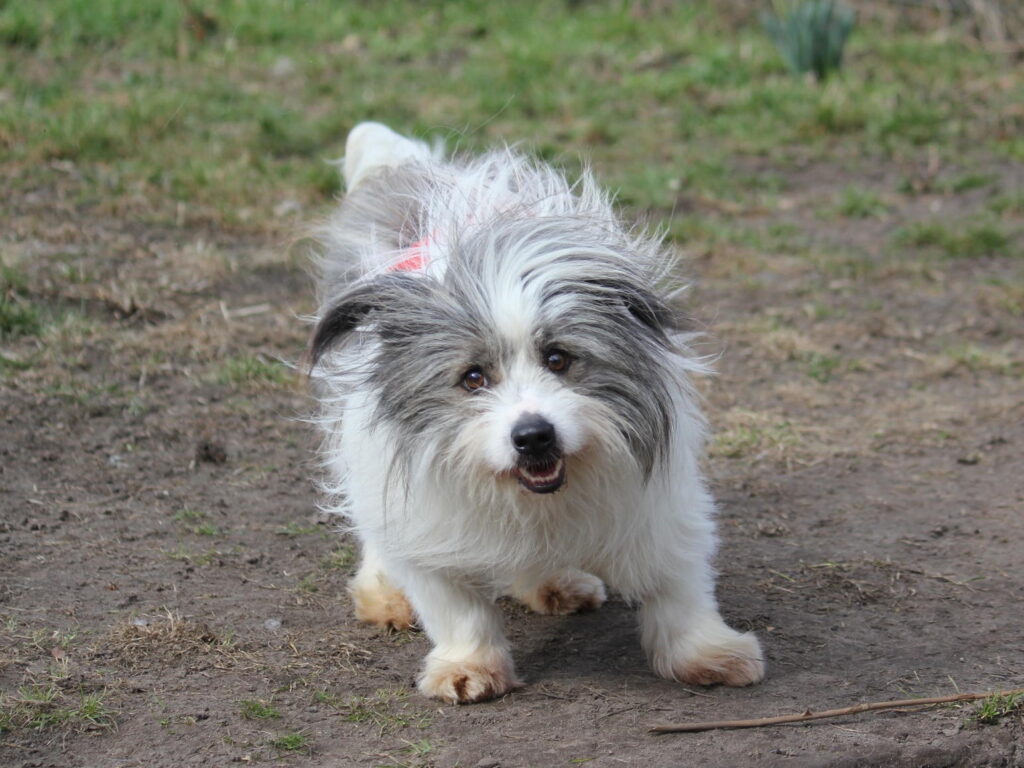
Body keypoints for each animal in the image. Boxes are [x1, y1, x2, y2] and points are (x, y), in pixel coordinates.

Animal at [307, 123, 764, 703]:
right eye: (473, 378)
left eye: (558, 359)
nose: (533, 436)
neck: (540, 498)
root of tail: (400, 166)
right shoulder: (427, 525)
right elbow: (457, 610)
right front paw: (468, 666)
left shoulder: (660, 507)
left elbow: (679, 590)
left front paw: (708, 652)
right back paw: (385, 592)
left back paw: (556, 583)